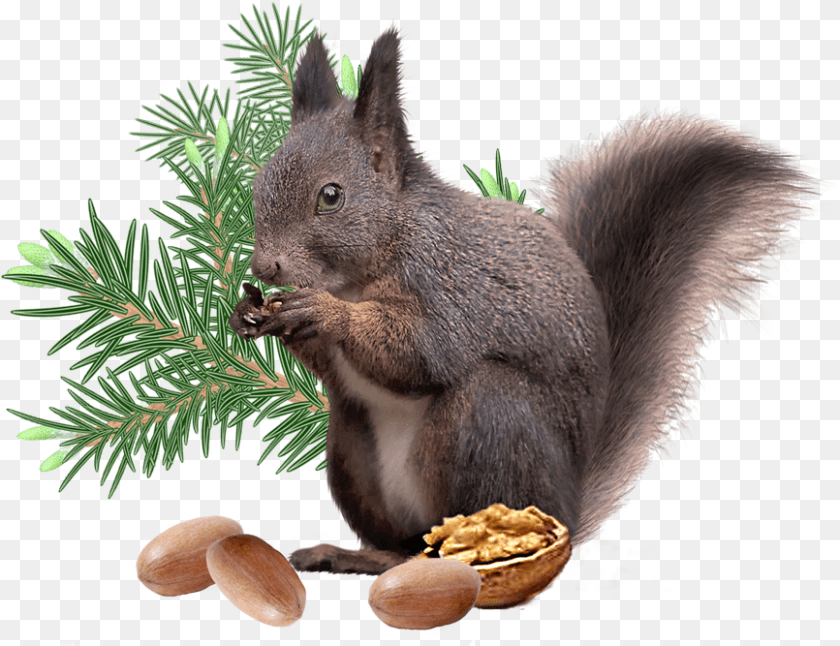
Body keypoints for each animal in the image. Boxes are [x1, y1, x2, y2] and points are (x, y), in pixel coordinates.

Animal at [229, 28, 812, 575]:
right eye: (258, 185)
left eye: (331, 196)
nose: (263, 268)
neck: (371, 259)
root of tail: (569, 509)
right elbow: (336, 368)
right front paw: (251, 314)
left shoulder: (452, 285)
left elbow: (421, 350)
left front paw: (325, 314)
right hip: (351, 449)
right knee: (403, 541)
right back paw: (361, 556)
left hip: (492, 422)